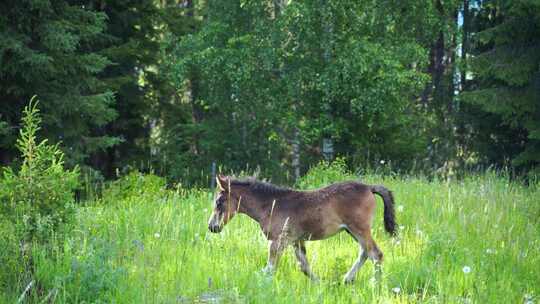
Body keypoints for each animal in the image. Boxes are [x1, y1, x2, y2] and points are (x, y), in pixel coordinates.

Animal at [207, 175, 396, 284]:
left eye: (219, 202)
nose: (212, 227)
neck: (271, 204)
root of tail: (369, 187)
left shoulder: (278, 241)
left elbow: (270, 268)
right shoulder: (296, 241)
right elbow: (304, 266)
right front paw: (320, 284)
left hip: (359, 229)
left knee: (376, 254)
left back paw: (375, 285)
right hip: (352, 231)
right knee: (365, 252)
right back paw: (347, 279)